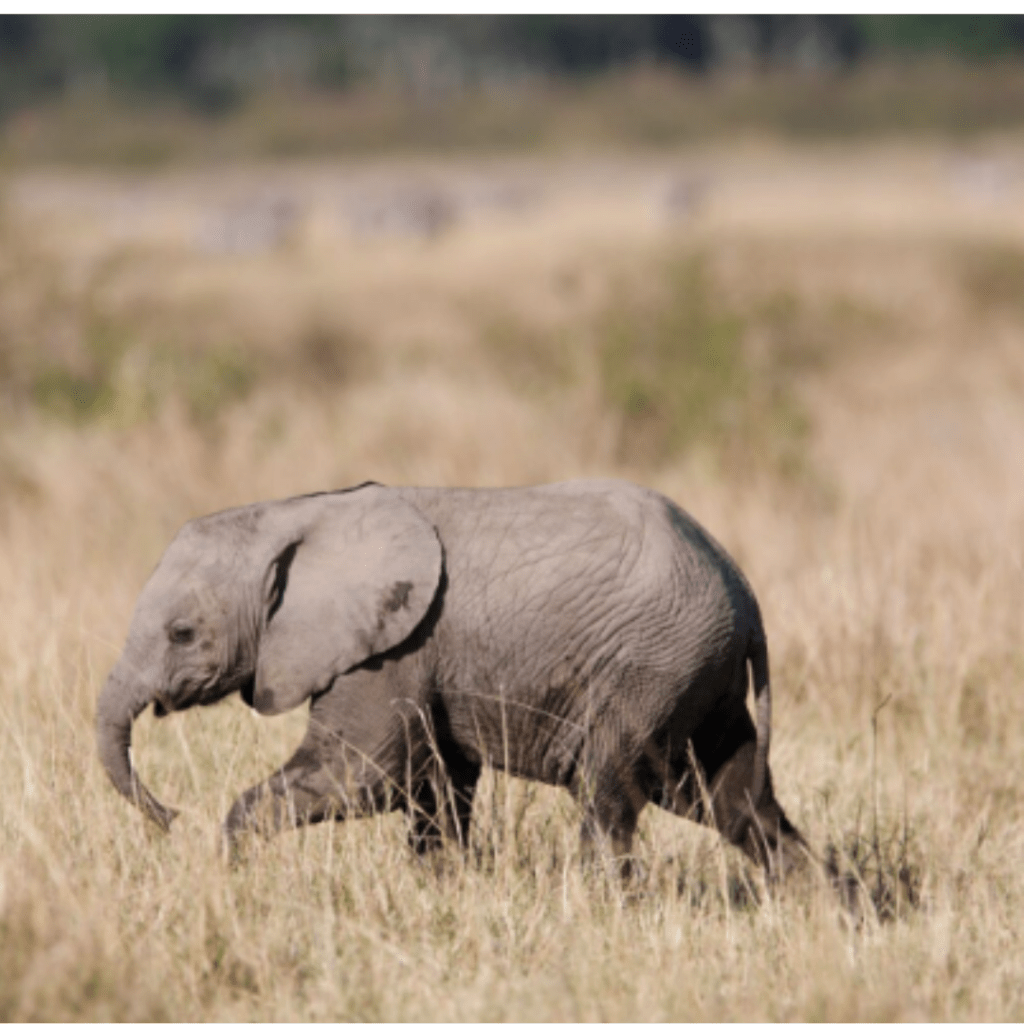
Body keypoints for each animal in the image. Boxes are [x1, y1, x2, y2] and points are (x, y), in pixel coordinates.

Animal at [99, 483, 811, 876]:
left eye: (182, 633)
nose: (171, 816)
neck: (295, 514)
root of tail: (746, 598)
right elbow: (435, 786)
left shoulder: (391, 649)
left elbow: (366, 776)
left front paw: (230, 873)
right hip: (697, 676)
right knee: (730, 799)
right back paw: (815, 906)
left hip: (652, 666)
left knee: (608, 789)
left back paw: (597, 902)